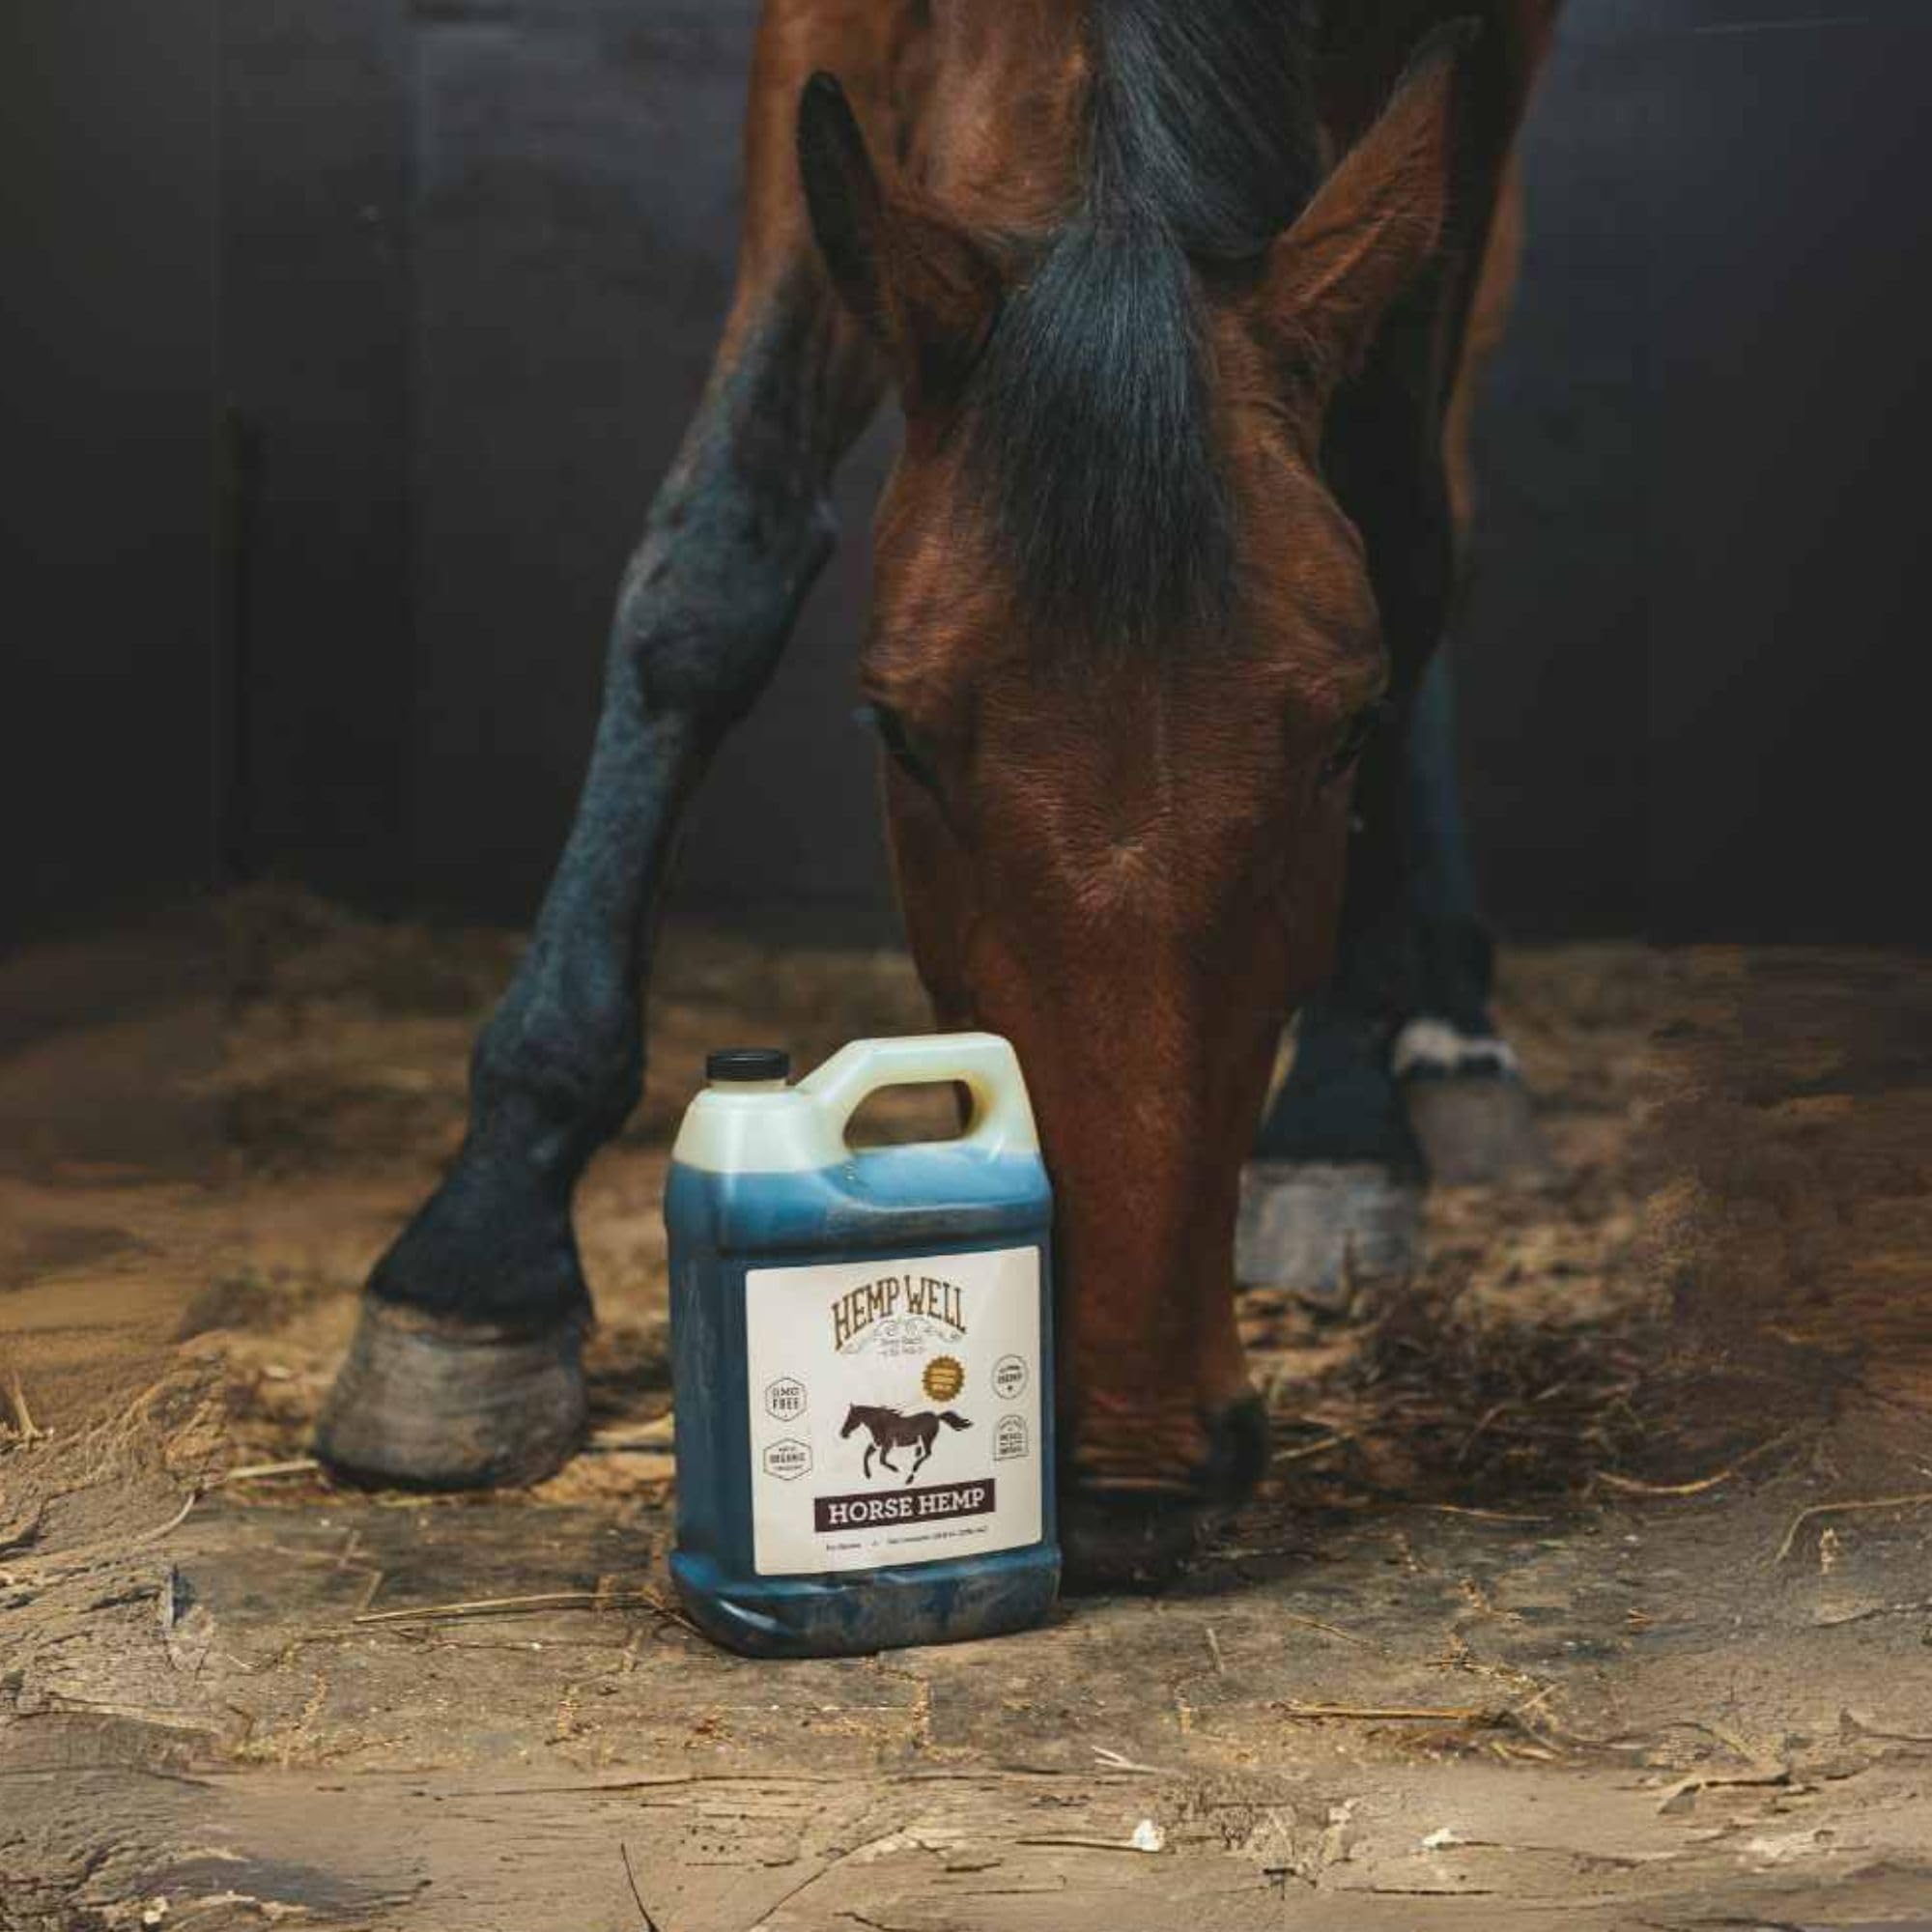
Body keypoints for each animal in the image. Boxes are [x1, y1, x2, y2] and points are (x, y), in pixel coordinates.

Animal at [842, 1403, 973, 1483]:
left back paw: (911, 1475)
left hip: (927, 1439)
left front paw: (895, 1469)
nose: (843, 1434)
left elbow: (882, 1460)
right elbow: (866, 1455)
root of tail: (936, 1416)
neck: (881, 1422)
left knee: (927, 1454)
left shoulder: (888, 1444)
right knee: (923, 1454)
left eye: (850, 1418)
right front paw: (868, 1474)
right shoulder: (877, 1444)